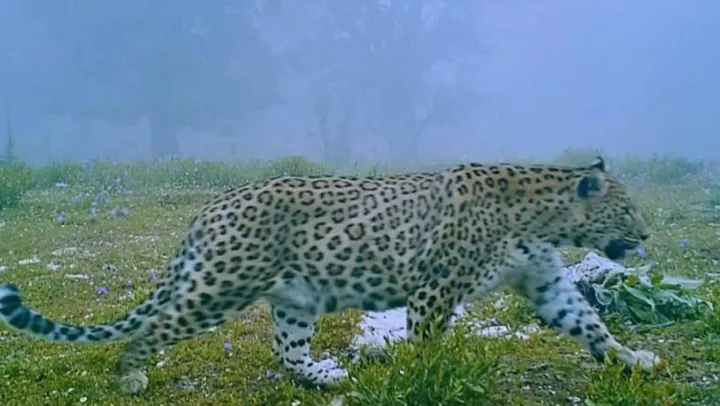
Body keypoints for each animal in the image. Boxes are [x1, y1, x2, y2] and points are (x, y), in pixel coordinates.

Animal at [0, 156, 663, 395]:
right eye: (627, 210)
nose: (648, 234)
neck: (545, 218)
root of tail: (211, 206)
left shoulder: (546, 283)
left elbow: (591, 325)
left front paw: (633, 360)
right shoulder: (435, 289)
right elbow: (428, 344)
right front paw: (424, 377)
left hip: (294, 298)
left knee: (286, 352)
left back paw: (324, 375)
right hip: (220, 284)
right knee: (152, 327)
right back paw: (131, 377)